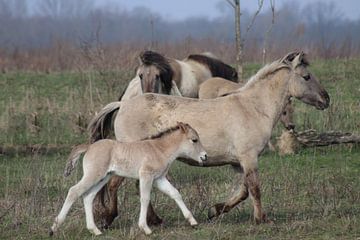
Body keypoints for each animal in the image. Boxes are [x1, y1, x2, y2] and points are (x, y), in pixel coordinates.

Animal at [50, 123, 208, 235]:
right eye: (194, 140)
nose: (204, 156)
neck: (159, 149)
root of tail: (89, 147)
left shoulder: (159, 179)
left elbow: (175, 193)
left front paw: (193, 221)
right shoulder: (146, 176)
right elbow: (145, 198)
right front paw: (145, 228)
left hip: (103, 178)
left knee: (88, 196)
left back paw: (95, 230)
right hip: (93, 175)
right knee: (74, 191)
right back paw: (54, 228)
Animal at [88, 51, 330, 226]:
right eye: (307, 77)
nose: (326, 99)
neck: (252, 108)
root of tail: (123, 104)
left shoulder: (238, 163)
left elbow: (243, 191)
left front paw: (214, 211)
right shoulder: (249, 158)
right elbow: (254, 188)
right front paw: (261, 219)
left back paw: (154, 220)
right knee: (115, 185)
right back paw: (108, 218)